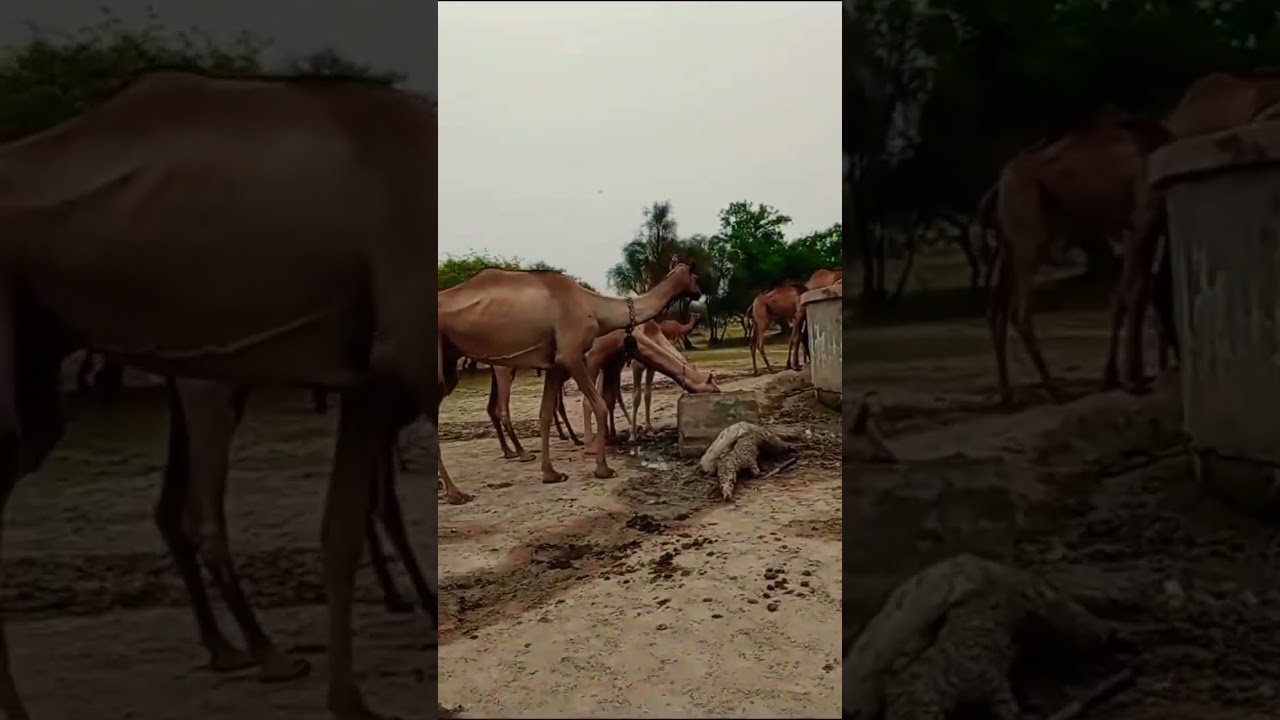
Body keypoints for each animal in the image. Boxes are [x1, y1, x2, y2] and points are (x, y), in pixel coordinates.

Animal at [0, 70, 441, 720]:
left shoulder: (371, 381)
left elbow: (340, 531)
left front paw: (350, 700)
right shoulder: (404, 355)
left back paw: (233, 650)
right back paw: (265, 654)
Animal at [437, 259, 701, 502]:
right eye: (695, 276)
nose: (699, 292)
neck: (594, 307)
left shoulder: (555, 363)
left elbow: (545, 414)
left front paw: (551, 473)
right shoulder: (572, 354)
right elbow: (599, 404)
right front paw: (603, 468)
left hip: (451, 363)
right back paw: (457, 492)